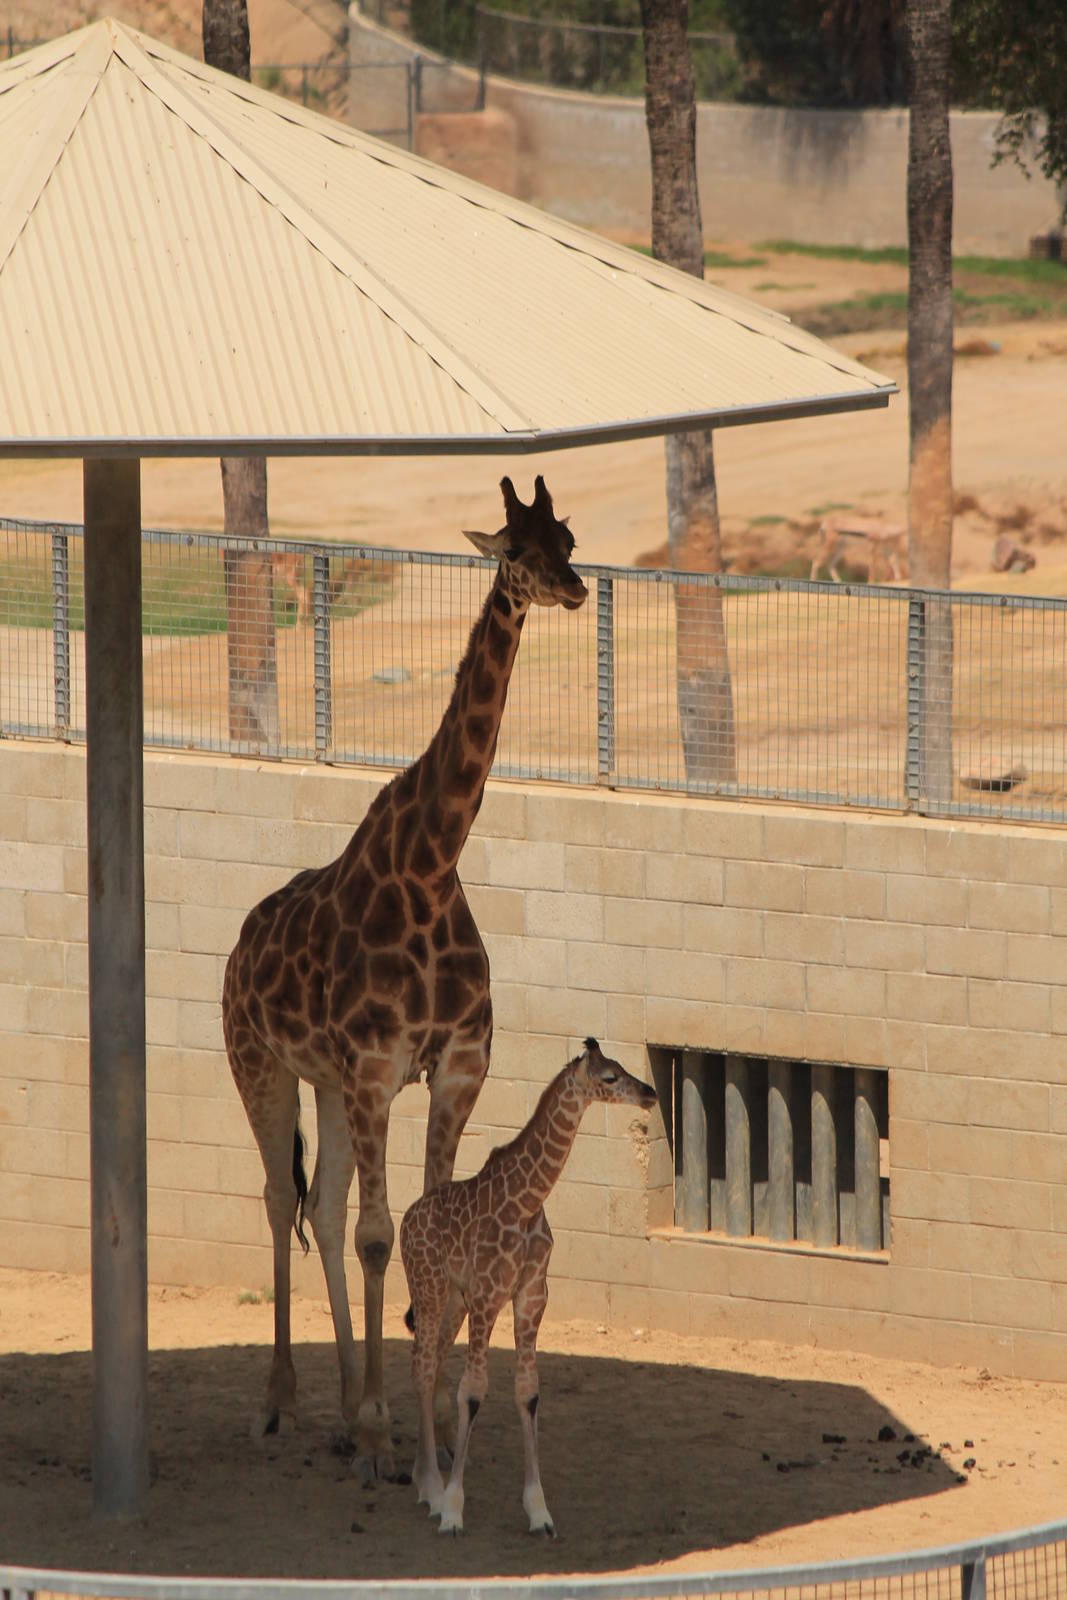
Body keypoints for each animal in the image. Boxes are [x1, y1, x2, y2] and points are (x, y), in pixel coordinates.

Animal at [221, 476, 588, 1479]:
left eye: (569, 537)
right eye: (514, 549)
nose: (573, 589)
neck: (428, 867)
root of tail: (239, 943)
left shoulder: (453, 1068)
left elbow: (426, 1218)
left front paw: (422, 1431)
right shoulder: (381, 1068)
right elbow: (383, 1234)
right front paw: (391, 1426)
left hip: (331, 1084)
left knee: (322, 1202)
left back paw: (345, 1411)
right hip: (260, 1063)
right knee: (282, 1200)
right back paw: (282, 1405)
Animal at [400, 1038, 657, 1535]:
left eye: (623, 1067)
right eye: (611, 1076)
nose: (650, 1093)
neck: (527, 1200)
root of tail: (406, 1220)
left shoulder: (531, 1295)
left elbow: (528, 1391)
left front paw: (539, 1511)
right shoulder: (487, 1294)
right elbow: (473, 1390)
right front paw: (455, 1508)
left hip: (453, 1301)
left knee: (432, 1361)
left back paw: (424, 1479)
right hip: (429, 1286)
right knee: (420, 1366)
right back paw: (434, 1490)